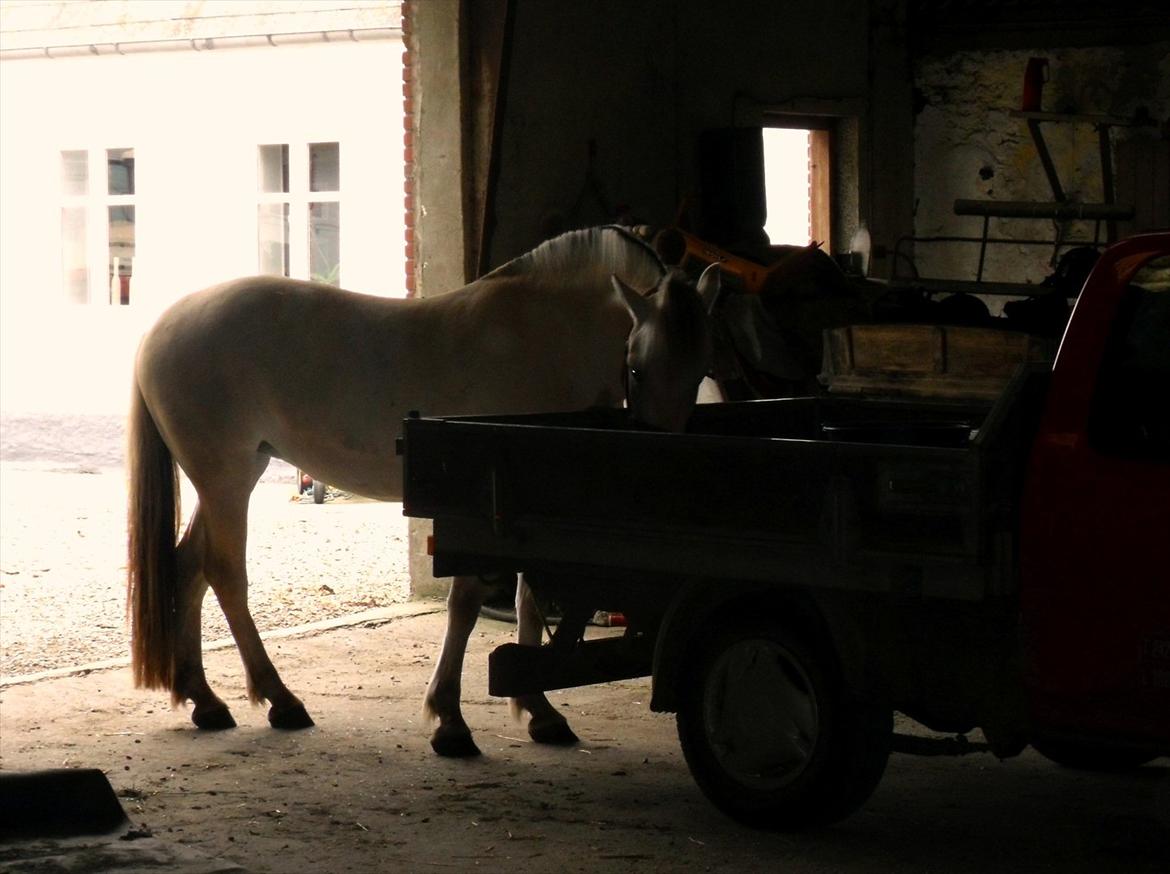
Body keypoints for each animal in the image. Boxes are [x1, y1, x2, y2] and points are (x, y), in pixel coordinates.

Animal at [125, 226, 711, 758]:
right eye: (636, 365)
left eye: (700, 371)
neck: (536, 336)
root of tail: (162, 328)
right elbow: (467, 603)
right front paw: (450, 721)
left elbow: (527, 600)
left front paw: (540, 712)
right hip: (224, 479)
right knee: (224, 574)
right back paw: (280, 701)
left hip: (234, 476)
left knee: (189, 568)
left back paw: (205, 700)